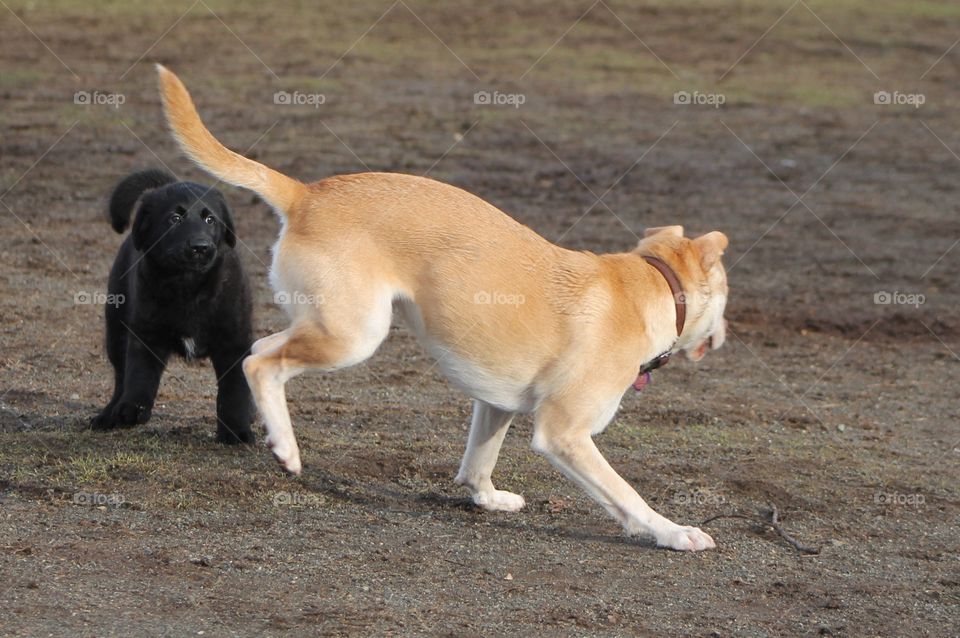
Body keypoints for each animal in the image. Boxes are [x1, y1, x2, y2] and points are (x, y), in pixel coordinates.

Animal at [89, 171, 255, 444]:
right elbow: (140, 374)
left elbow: (234, 390)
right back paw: (109, 414)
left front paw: (236, 431)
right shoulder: (145, 333)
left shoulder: (234, 342)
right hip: (116, 328)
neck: (188, 285)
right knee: (120, 375)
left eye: (210, 219)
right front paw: (134, 408)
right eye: (174, 219)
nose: (200, 247)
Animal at [156, 67, 728, 552]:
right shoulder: (565, 434)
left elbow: (478, 462)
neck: (651, 283)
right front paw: (673, 533)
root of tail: (306, 194)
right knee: (260, 362)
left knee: (258, 349)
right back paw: (287, 450)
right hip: (354, 336)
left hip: (331, 325)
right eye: (725, 292)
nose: (725, 334)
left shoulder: (495, 404)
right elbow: (627, 496)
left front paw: (488, 498)